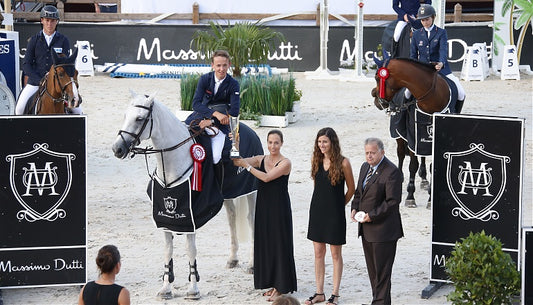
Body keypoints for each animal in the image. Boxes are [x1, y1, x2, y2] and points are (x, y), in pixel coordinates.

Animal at [112, 91, 260, 298]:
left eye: (139, 118)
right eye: (125, 115)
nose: (117, 149)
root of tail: (250, 131)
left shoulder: (191, 216)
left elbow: (191, 250)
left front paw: (193, 289)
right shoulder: (165, 218)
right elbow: (168, 251)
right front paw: (166, 288)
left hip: (251, 190)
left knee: (251, 220)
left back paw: (253, 265)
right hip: (228, 194)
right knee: (232, 218)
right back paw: (233, 259)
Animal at [370, 54, 454, 208]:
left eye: (377, 77)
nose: (377, 100)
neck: (433, 98)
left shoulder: (431, 139)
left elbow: (432, 165)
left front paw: (430, 198)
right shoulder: (413, 137)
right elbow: (412, 166)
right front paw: (410, 196)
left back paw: (424, 179)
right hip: (399, 135)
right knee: (401, 154)